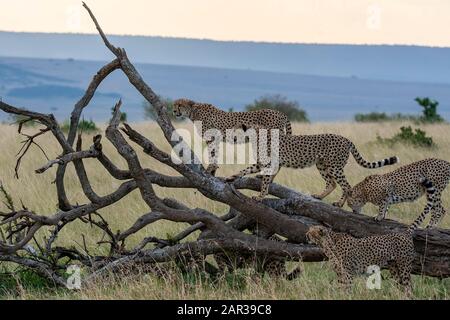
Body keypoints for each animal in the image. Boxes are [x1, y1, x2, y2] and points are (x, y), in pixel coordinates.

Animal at [225, 124, 398, 206]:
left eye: (236, 131)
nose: (232, 138)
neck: (256, 135)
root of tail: (346, 139)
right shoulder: (266, 162)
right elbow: (247, 170)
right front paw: (231, 177)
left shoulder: (270, 162)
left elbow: (266, 180)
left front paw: (261, 196)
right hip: (322, 165)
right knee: (332, 183)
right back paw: (319, 196)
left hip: (334, 167)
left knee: (347, 186)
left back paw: (340, 203)